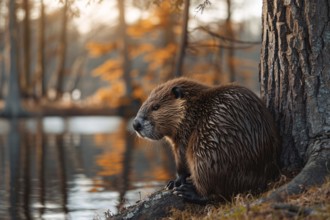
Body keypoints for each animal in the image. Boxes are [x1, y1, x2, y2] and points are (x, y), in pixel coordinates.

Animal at [133, 78, 280, 204]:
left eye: (155, 107)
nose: (135, 124)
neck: (192, 109)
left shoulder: (185, 132)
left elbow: (182, 160)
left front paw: (174, 182)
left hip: (206, 151)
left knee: (216, 193)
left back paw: (188, 192)